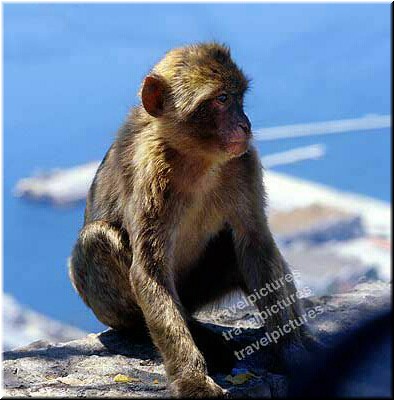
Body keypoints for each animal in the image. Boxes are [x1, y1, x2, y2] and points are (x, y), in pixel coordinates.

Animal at [68, 42, 314, 396]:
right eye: (221, 99)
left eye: (238, 97)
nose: (245, 124)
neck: (199, 159)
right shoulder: (150, 174)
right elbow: (148, 271)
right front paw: (192, 379)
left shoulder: (245, 162)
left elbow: (256, 243)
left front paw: (294, 352)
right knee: (96, 238)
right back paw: (194, 336)